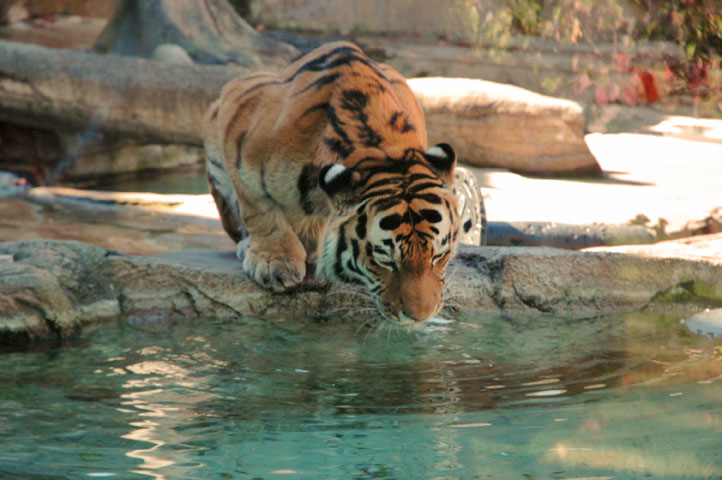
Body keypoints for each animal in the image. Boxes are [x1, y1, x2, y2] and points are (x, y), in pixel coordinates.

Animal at [203, 41, 460, 323]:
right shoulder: (239, 123)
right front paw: (275, 263)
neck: (383, 150)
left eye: (439, 256)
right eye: (385, 261)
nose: (420, 318)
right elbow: (258, 207)